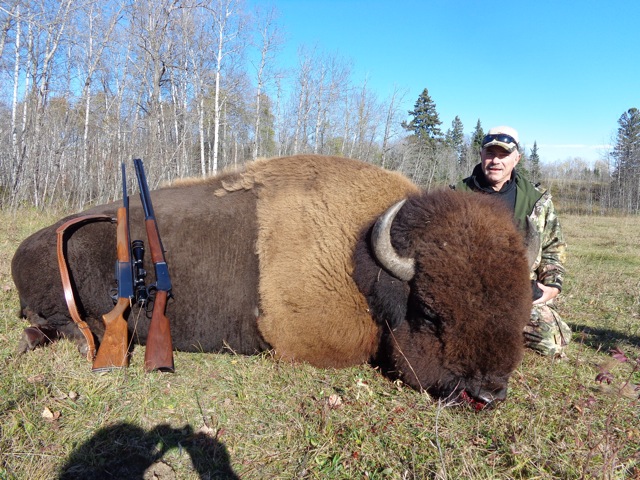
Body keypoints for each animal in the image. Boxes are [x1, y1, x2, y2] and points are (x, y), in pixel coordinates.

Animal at [12, 155, 532, 408]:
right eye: (428, 312)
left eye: (520, 309)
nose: (487, 394)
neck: (359, 255)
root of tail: (24, 246)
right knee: (51, 327)